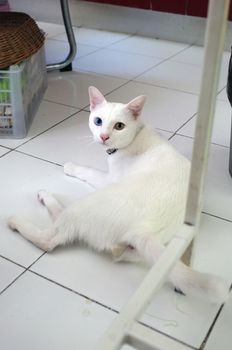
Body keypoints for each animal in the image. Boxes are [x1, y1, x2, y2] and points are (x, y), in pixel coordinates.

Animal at [8, 87, 229, 304]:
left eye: (119, 126)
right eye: (98, 121)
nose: (104, 137)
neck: (136, 135)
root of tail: (143, 230)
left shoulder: (108, 179)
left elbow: (89, 171)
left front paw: (71, 167)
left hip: (86, 205)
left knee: (50, 237)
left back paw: (24, 213)